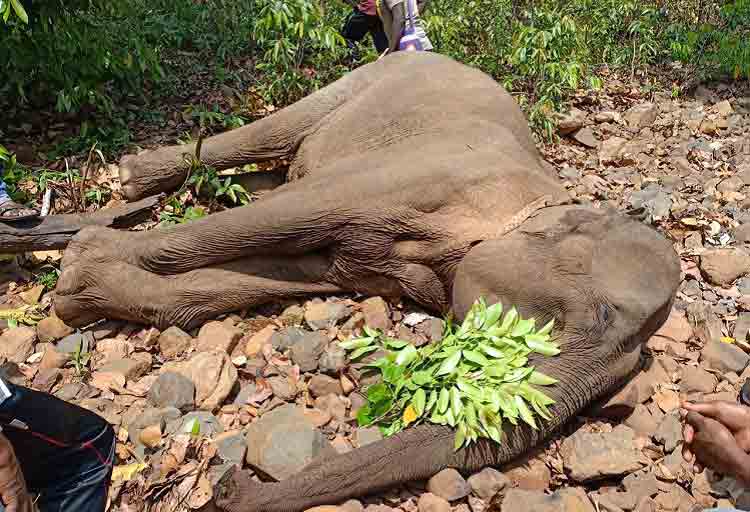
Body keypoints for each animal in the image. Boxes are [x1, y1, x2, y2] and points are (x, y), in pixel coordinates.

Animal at [55, 51, 684, 508]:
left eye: (630, 365)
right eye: (597, 316)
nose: (227, 483)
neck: (539, 199)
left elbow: (286, 274)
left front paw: (85, 288)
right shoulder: (408, 174)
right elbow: (289, 215)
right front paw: (76, 272)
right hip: (368, 79)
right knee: (272, 138)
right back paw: (131, 180)